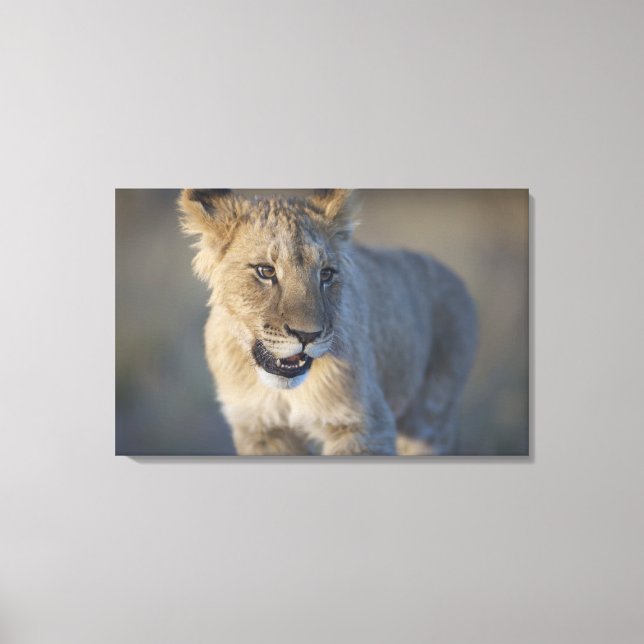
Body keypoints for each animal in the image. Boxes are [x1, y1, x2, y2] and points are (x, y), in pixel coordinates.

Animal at [178, 189, 477, 456]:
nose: (307, 335)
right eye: (266, 271)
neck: (284, 393)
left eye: (326, 274)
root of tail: (453, 275)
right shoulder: (260, 430)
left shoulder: (366, 426)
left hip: (430, 418)